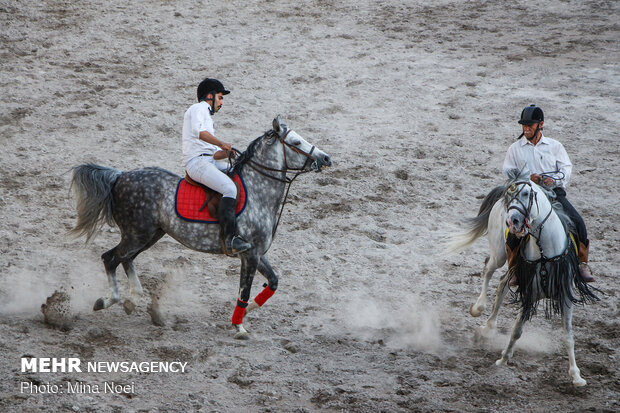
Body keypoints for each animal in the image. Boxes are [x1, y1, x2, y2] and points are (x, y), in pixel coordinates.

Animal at [70, 116, 332, 338]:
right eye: (296, 142)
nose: (326, 158)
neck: (259, 192)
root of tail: (120, 176)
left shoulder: (257, 253)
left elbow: (274, 282)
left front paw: (247, 312)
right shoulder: (249, 254)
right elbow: (244, 291)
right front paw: (239, 326)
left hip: (150, 235)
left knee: (125, 259)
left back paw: (133, 300)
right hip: (137, 235)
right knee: (110, 258)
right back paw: (107, 301)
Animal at [448, 169, 600, 384]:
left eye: (527, 194)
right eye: (509, 196)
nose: (512, 221)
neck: (545, 254)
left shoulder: (565, 296)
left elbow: (568, 337)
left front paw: (576, 376)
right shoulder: (528, 295)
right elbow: (516, 330)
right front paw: (503, 359)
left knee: (502, 283)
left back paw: (488, 327)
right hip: (499, 254)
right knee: (488, 270)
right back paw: (479, 310)